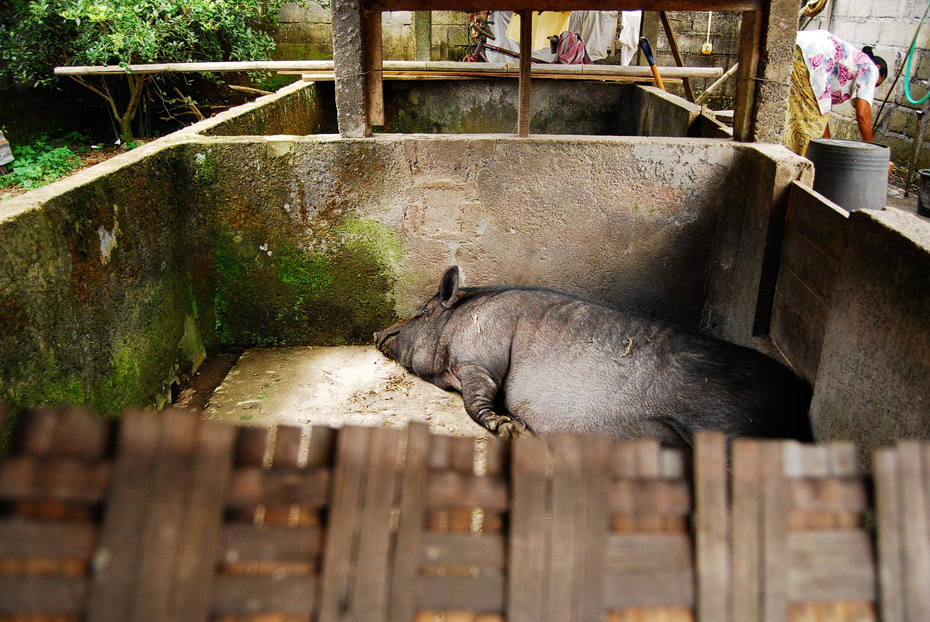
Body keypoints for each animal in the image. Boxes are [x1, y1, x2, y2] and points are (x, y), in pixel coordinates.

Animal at [374, 266, 808, 446]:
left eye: (424, 311)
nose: (378, 331)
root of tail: (794, 405)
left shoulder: (481, 356)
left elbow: (477, 401)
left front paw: (513, 428)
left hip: (728, 427)